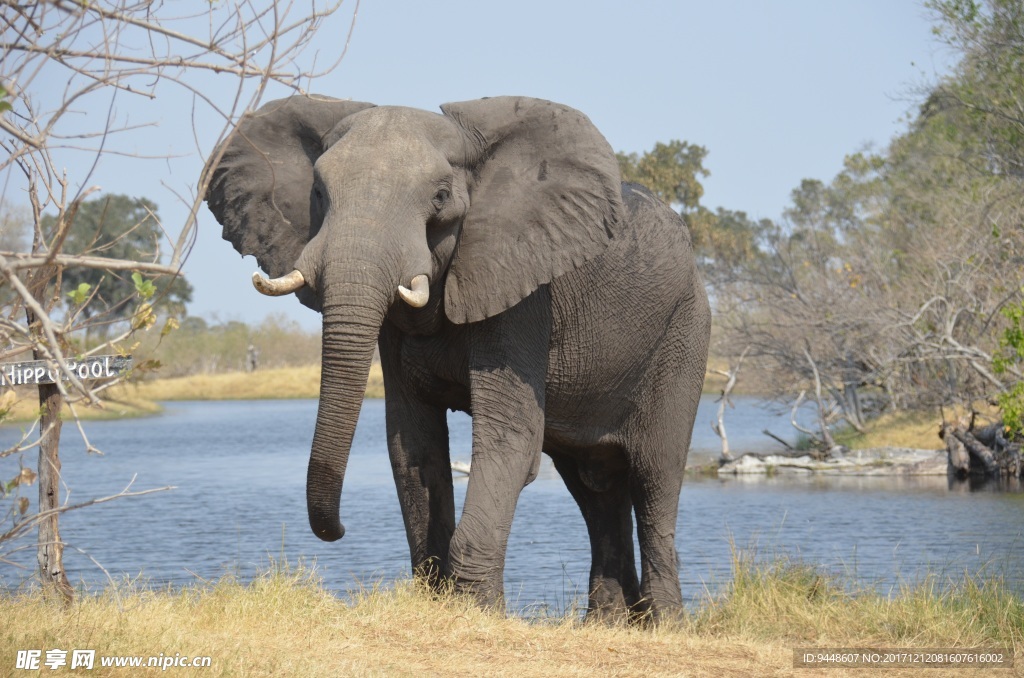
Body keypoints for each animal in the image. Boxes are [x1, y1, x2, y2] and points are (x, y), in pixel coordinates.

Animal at [203, 95, 708, 626]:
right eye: (318, 193)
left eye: (441, 197)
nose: (338, 531)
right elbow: (412, 444)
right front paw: (438, 599)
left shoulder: (522, 291)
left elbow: (511, 439)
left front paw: (478, 610)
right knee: (595, 487)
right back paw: (608, 623)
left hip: (685, 332)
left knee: (655, 475)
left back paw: (665, 625)